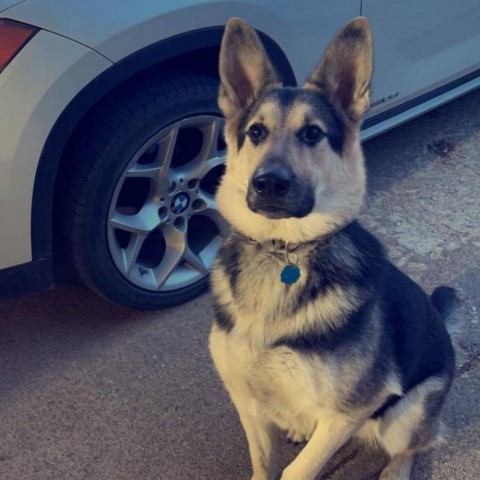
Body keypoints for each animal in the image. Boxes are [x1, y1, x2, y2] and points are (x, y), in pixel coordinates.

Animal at [208, 16, 456, 480]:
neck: (283, 251)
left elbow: (296, 471)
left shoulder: (348, 412)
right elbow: (263, 461)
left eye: (312, 134)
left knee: (417, 443)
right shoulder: (247, 402)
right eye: (256, 132)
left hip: (404, 415)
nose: (268, 183)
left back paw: (396, 470)